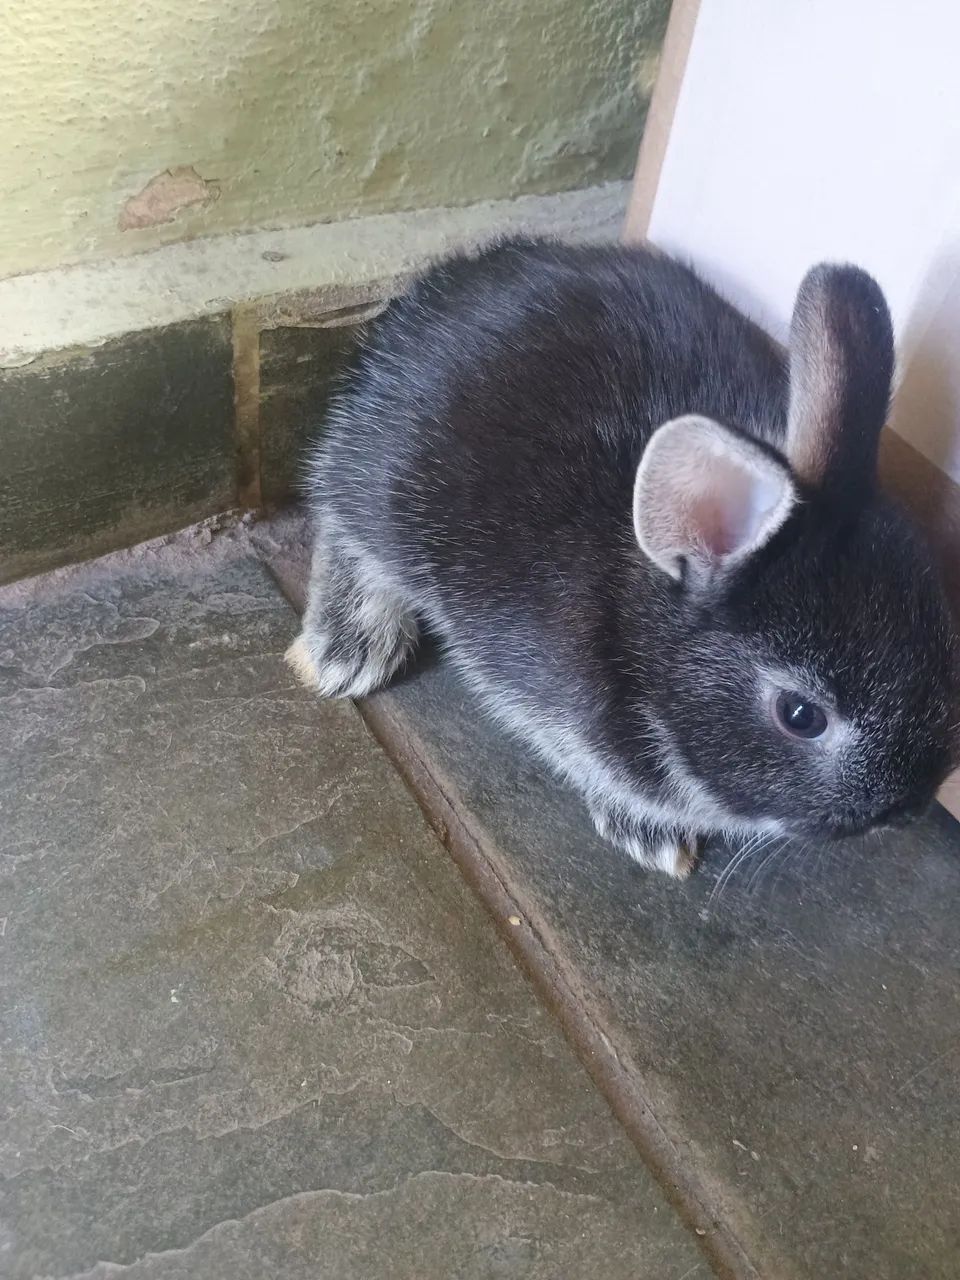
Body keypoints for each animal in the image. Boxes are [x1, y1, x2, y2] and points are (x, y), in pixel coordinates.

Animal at [286, 238, 958, 878]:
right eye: (800, 715)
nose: (905, 810)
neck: (635, 619)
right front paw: (652, 836)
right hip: (379, 481)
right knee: (342, 521)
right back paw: (345, 652)